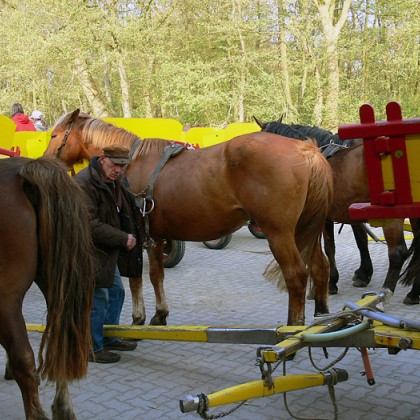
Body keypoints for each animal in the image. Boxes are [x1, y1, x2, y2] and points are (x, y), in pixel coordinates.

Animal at [0, 156, 94, 418]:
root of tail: (25, 172)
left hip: (6, 299)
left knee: (24, 359)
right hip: (57, 285)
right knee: (61, 343)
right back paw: (63, 408)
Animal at [44, 108, 334, 324]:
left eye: (54, 135)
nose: (47, 162)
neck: (132, 162)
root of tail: (306, 149)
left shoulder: (137, 234)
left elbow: (138, 278)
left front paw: (140, 316)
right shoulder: (155, 235)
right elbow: (156, 275)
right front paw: (160, 313)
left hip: (279, 233)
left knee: (296, 275)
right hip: (309, 229)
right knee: (320, 267)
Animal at [256, 120, 416, 304]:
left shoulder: (324, 218)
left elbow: (329, 247)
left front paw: (329, 283)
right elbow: (357, 240)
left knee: (398, 253)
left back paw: (385, 295)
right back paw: (414, 293)